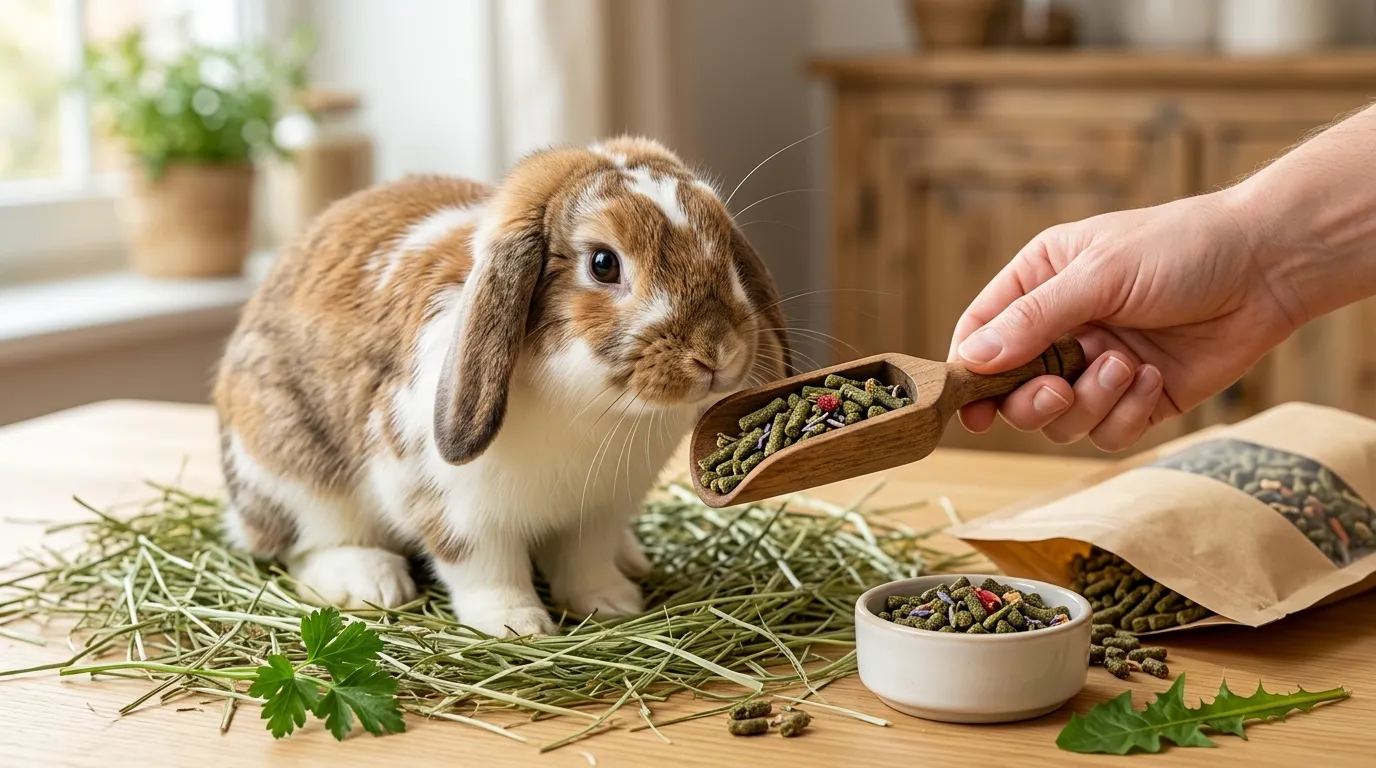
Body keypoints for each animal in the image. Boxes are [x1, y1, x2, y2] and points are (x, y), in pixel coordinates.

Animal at [213, 137, 792, 637]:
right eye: (603, 263)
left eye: (723, 244)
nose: (715, 352)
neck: (593, 407)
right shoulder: (458, 511)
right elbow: (486, 572)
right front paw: (520, 626)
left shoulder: (599, 513)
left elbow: (585, 563)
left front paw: (612, 604)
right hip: (291, 469)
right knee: (302, 544)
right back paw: (371, 582)